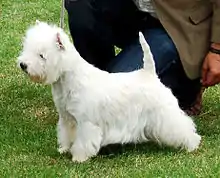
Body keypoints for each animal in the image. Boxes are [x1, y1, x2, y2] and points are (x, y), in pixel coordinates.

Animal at [18, 20, 201, 162]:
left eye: (42, 55)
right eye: (26, 48)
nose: (23, 65)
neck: (67, 80)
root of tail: (149, 73)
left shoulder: (86, 122)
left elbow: (83, 141)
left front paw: (79, 158)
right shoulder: (67, 118)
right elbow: (66, 134)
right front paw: (64, 149)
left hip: (165, 114)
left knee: (182, 126)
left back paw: (192, 145)